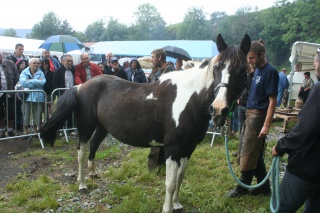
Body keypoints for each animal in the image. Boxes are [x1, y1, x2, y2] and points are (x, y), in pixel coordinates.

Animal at [39, 33, 250, 213]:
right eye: (216, 68)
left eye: (242, 70)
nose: (218, 109)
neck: (190, 99)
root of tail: (81, 85)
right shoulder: (173, 149)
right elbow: (170, 183)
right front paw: (167, 208)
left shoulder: (188, 149)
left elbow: (180, 178)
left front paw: (177, 204)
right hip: (85, 127)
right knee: (81, 153)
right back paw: (82, 184)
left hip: (102, 128)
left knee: (93, 146)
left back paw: (93, 175)